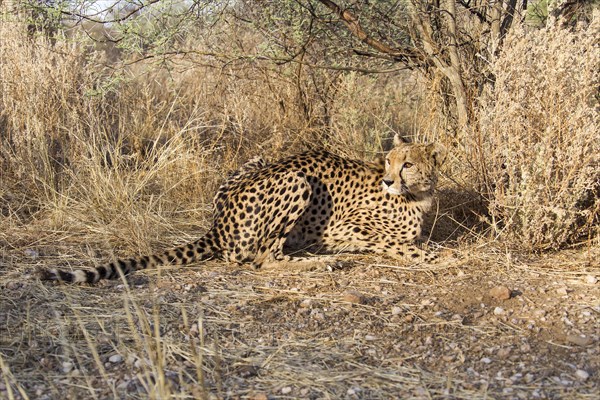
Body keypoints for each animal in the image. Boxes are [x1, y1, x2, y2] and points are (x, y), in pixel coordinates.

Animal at [39, 137, 446, 284]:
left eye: (407, 163)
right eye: (389, 160)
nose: (388, 180)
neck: (417, 194)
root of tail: (217, 223)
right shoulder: (349, 227)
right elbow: (409, 246)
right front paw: (439, 258)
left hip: (258, 159)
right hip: (297, 180)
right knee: (258, 259)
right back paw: (322, 262)